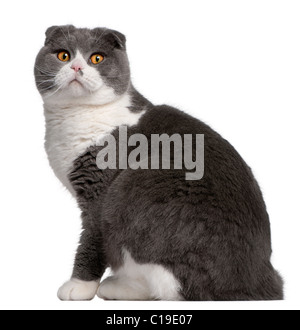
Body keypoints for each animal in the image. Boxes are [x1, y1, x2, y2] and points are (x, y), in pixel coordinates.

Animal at [35, 24, 284, 300]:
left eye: (96, 58)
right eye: (63, 56)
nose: (77, 67)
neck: (76, 117)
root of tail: (259, 283)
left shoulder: (98, 194)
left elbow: (91, 239)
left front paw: (79, 285)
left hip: (130, 190)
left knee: (171, 286)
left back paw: (116, 286)